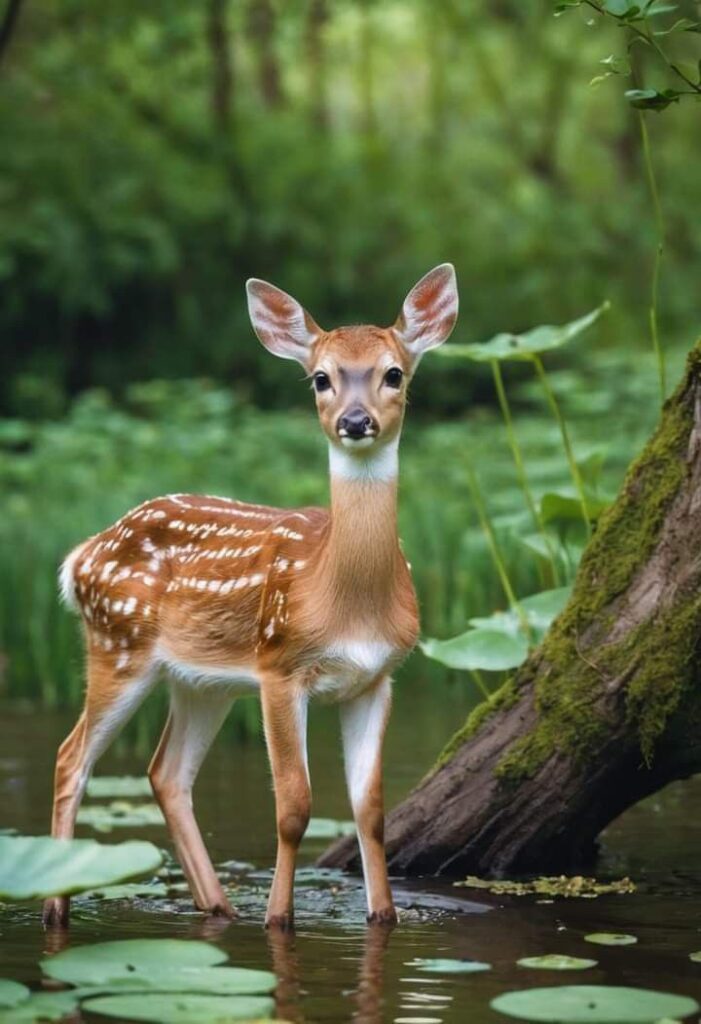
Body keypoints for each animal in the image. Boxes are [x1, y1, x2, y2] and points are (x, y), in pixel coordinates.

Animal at [42, 262, 458, 929]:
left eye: (394, 373)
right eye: (321, 377)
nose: (356, 421)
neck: (343, 597)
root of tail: (83, 553)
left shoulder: (376, 678)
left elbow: (370, 811)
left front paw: (382, 916)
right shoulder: (280, 666)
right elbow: (293, 806)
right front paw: (278, 919)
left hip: (201, 681)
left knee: (166, 773)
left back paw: (217, 906)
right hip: (117, 643)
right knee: (71, 757)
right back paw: (56, 907)